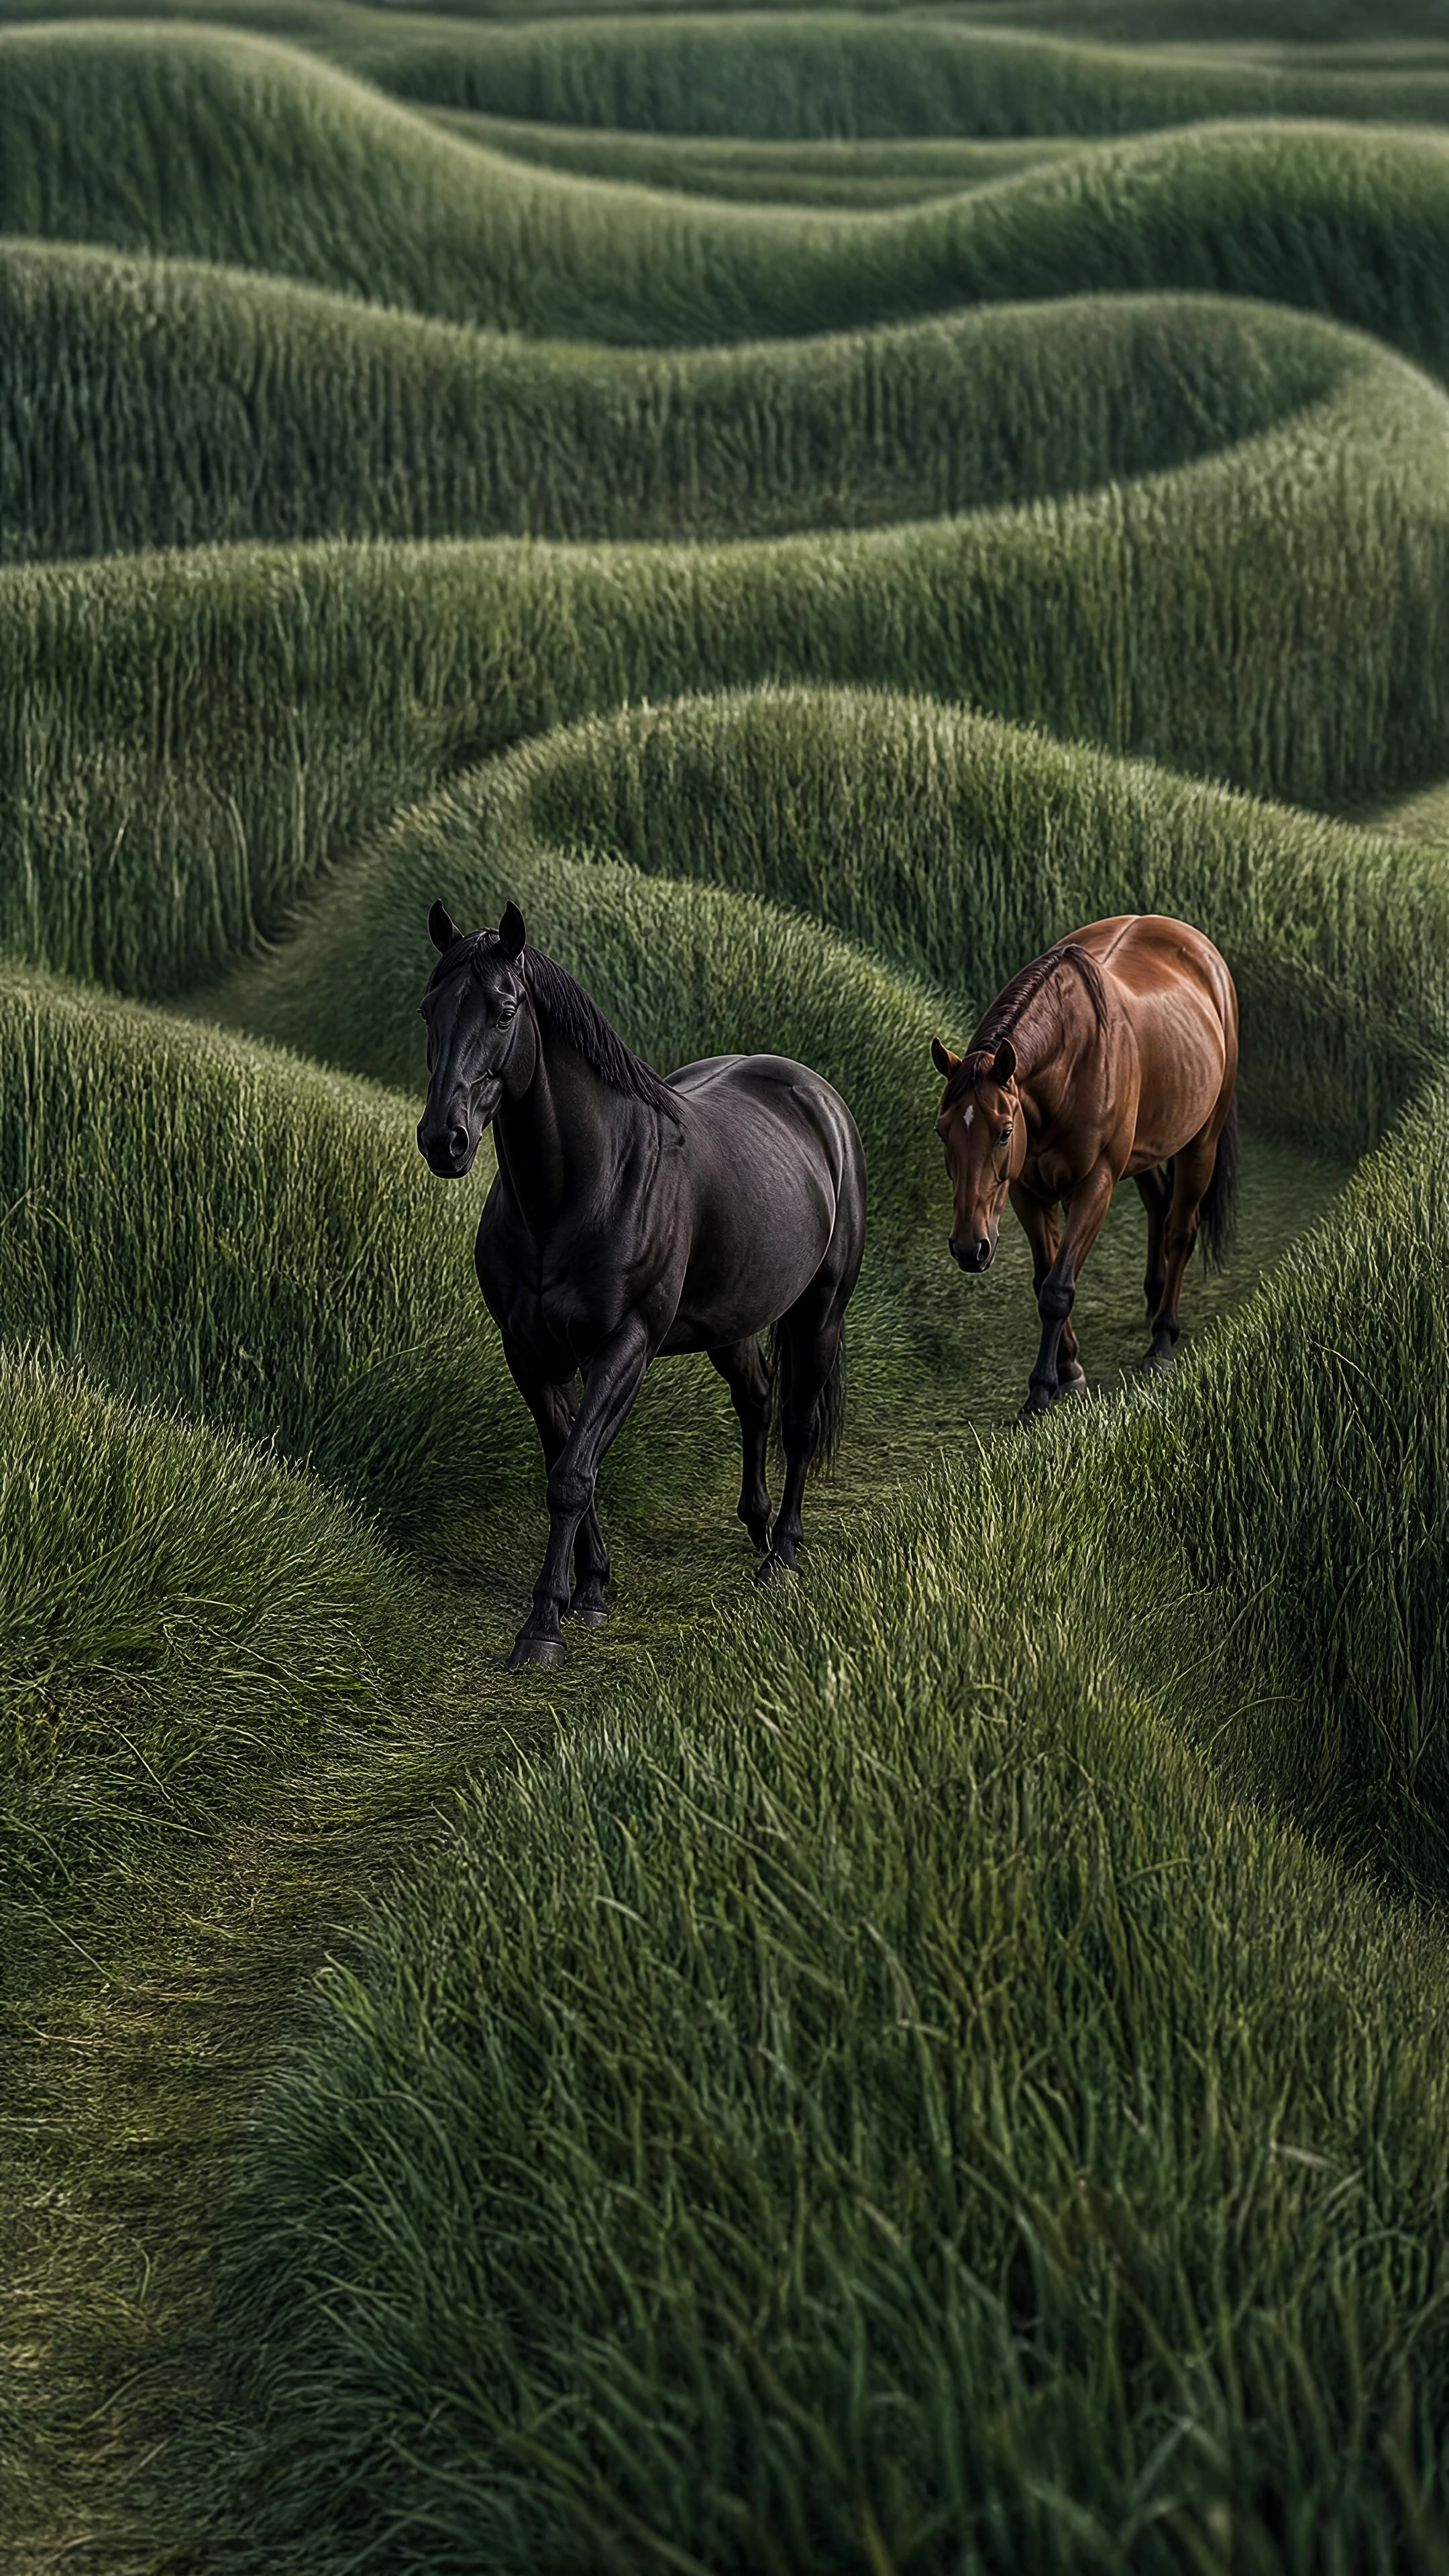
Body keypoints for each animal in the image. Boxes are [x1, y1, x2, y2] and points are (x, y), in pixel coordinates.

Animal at [417, 901, 867, 1669]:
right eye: (428, 1010)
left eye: (505, 1011)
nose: (443, 1140)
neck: (577, 1192)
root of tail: (817, 1096)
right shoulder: (530, 1354)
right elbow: (568, 1461)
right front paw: (591, 1590)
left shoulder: (624, 1347)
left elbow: (573, 1476)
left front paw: (543, 1627)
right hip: (730, 1320)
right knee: (756, 1399)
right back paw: (755, 1524)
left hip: (819, 1313)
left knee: (800, 1425)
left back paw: (780, 1557)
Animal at [930, 915, 1239, 1423]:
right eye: (942, 1133)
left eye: (1004, 1133)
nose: (969, 1249)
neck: (1069, 1064)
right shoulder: (1027, 1191)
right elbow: (1044, 1278)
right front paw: (1069, 1369)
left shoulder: (1095, 1185)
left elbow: (1058, 1288)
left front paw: (1041, 1392)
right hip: (1146, 1147)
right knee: (1159, 1205)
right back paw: (1153, 1298)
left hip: (1202, 1142)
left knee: (1180, 1229)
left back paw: (1162, 1340)